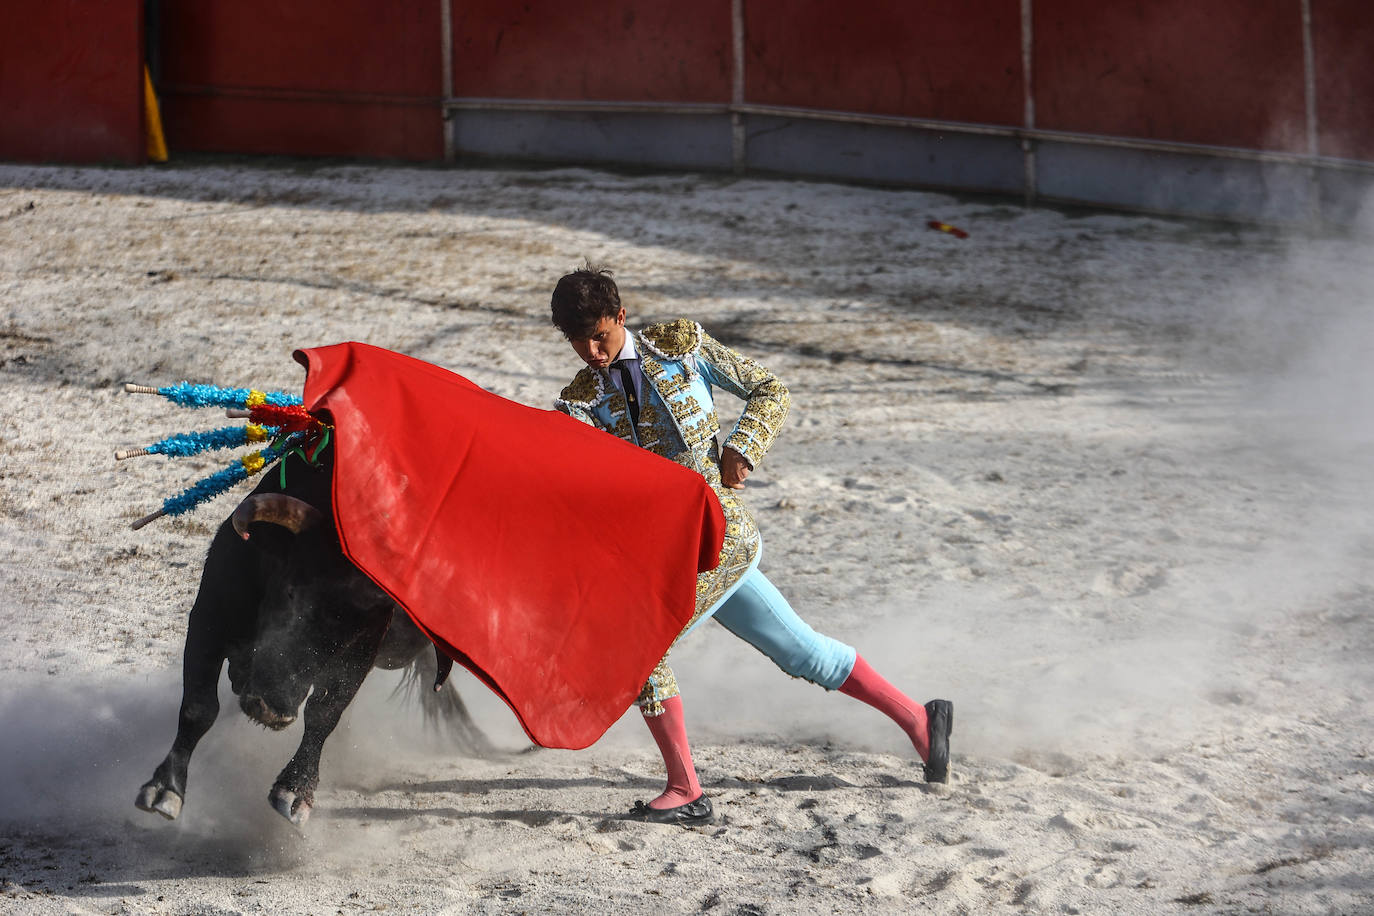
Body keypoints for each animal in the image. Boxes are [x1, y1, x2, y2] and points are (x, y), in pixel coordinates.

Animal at [133, 447, 489, 829]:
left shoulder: (361, 654)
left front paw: (294, 791)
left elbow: (323, 715)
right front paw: (165, 788)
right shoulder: (209, 619)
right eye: (292, 592)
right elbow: (199, 707)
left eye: (352, 633)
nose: (273, 711)